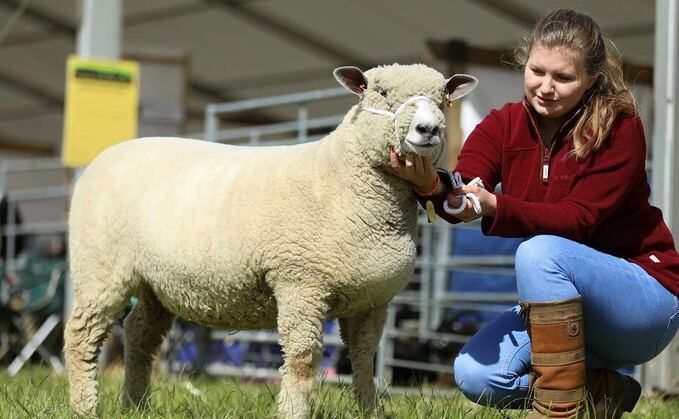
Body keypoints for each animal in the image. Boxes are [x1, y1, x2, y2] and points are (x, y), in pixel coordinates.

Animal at [65, 63, 478, 419]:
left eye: (443, 97)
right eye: (381, 92)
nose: (428, 129)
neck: (342, 177)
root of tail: (106, 154)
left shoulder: (373, 298)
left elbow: (364, 359)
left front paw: (369, 412)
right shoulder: (301, 283)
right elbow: (302, 359)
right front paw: (292, 412)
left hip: (156, 283)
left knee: (139, 335)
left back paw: (135, 405)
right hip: (100, 266)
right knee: (81, 336)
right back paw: (85, 408)